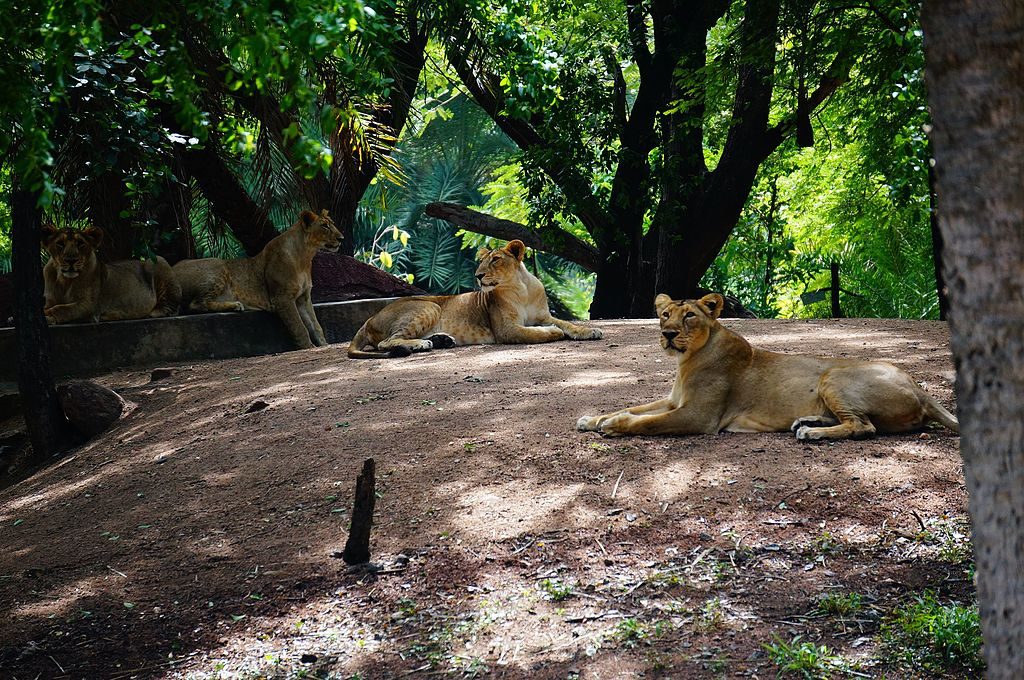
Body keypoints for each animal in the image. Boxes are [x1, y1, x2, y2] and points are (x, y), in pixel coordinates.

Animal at [43, 224, 182, 325]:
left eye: (80, 243)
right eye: (60, 243)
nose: (71, 260)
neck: (64, 280)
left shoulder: (89, 306)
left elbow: (62, 309)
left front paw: (48, 317)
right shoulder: (50, 300)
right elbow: (51, 306)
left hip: (156, 259)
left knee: (173, 306)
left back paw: (153, 312)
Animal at [172, 208, 339, 348]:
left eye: (332, 224)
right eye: (325, 226)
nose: (341, 237)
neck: (305, 257)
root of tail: (172, 268)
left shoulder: (303, 298)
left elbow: (315, 325)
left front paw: (324, 344)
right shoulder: (282, 298)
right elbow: (299, 327)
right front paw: (309, 347)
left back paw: (235, 305)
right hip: (218, 266)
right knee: (195, 304)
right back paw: (235, 305)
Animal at [346, 238, 598, 358]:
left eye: (495, 259)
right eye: (482, 261)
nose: (478, 275)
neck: (521, 289)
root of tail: (368, 320)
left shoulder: (544, 315)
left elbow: (567, 324)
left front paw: (590, 331)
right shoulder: (506, 329)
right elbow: (536, 332)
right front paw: (553, 332)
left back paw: (441, 340)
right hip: (428, 306)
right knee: (386, 342)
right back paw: (421, 344)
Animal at [577, 292, 958, 440]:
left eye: (689, 316)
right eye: (665, 314)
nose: (668, 334)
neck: (687, 360)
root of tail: (921, 389)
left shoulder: (698, 416)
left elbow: (645, 421)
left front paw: (613, 425)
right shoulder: (673, 401)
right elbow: (632, 406)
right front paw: (592, 418)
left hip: (834, 374)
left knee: (864, 426)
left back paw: (811, 433)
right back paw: (806, 421)